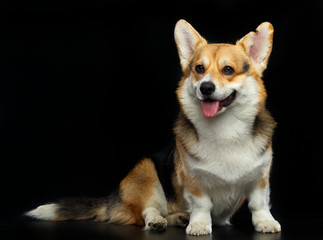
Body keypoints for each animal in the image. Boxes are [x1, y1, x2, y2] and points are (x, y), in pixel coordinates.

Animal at [26, 19, 282, 235]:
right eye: (199, 69)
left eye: (228, 69)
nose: (206, 88)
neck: (225, 128)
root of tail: (114, 200)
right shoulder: (193, 179)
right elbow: (202, 204)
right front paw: (199, 225)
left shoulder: (261, 177)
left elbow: (258, 203)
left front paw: (266, 223)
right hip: (145, 173)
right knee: (147, 211)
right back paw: (158, 221)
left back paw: (179, 218)